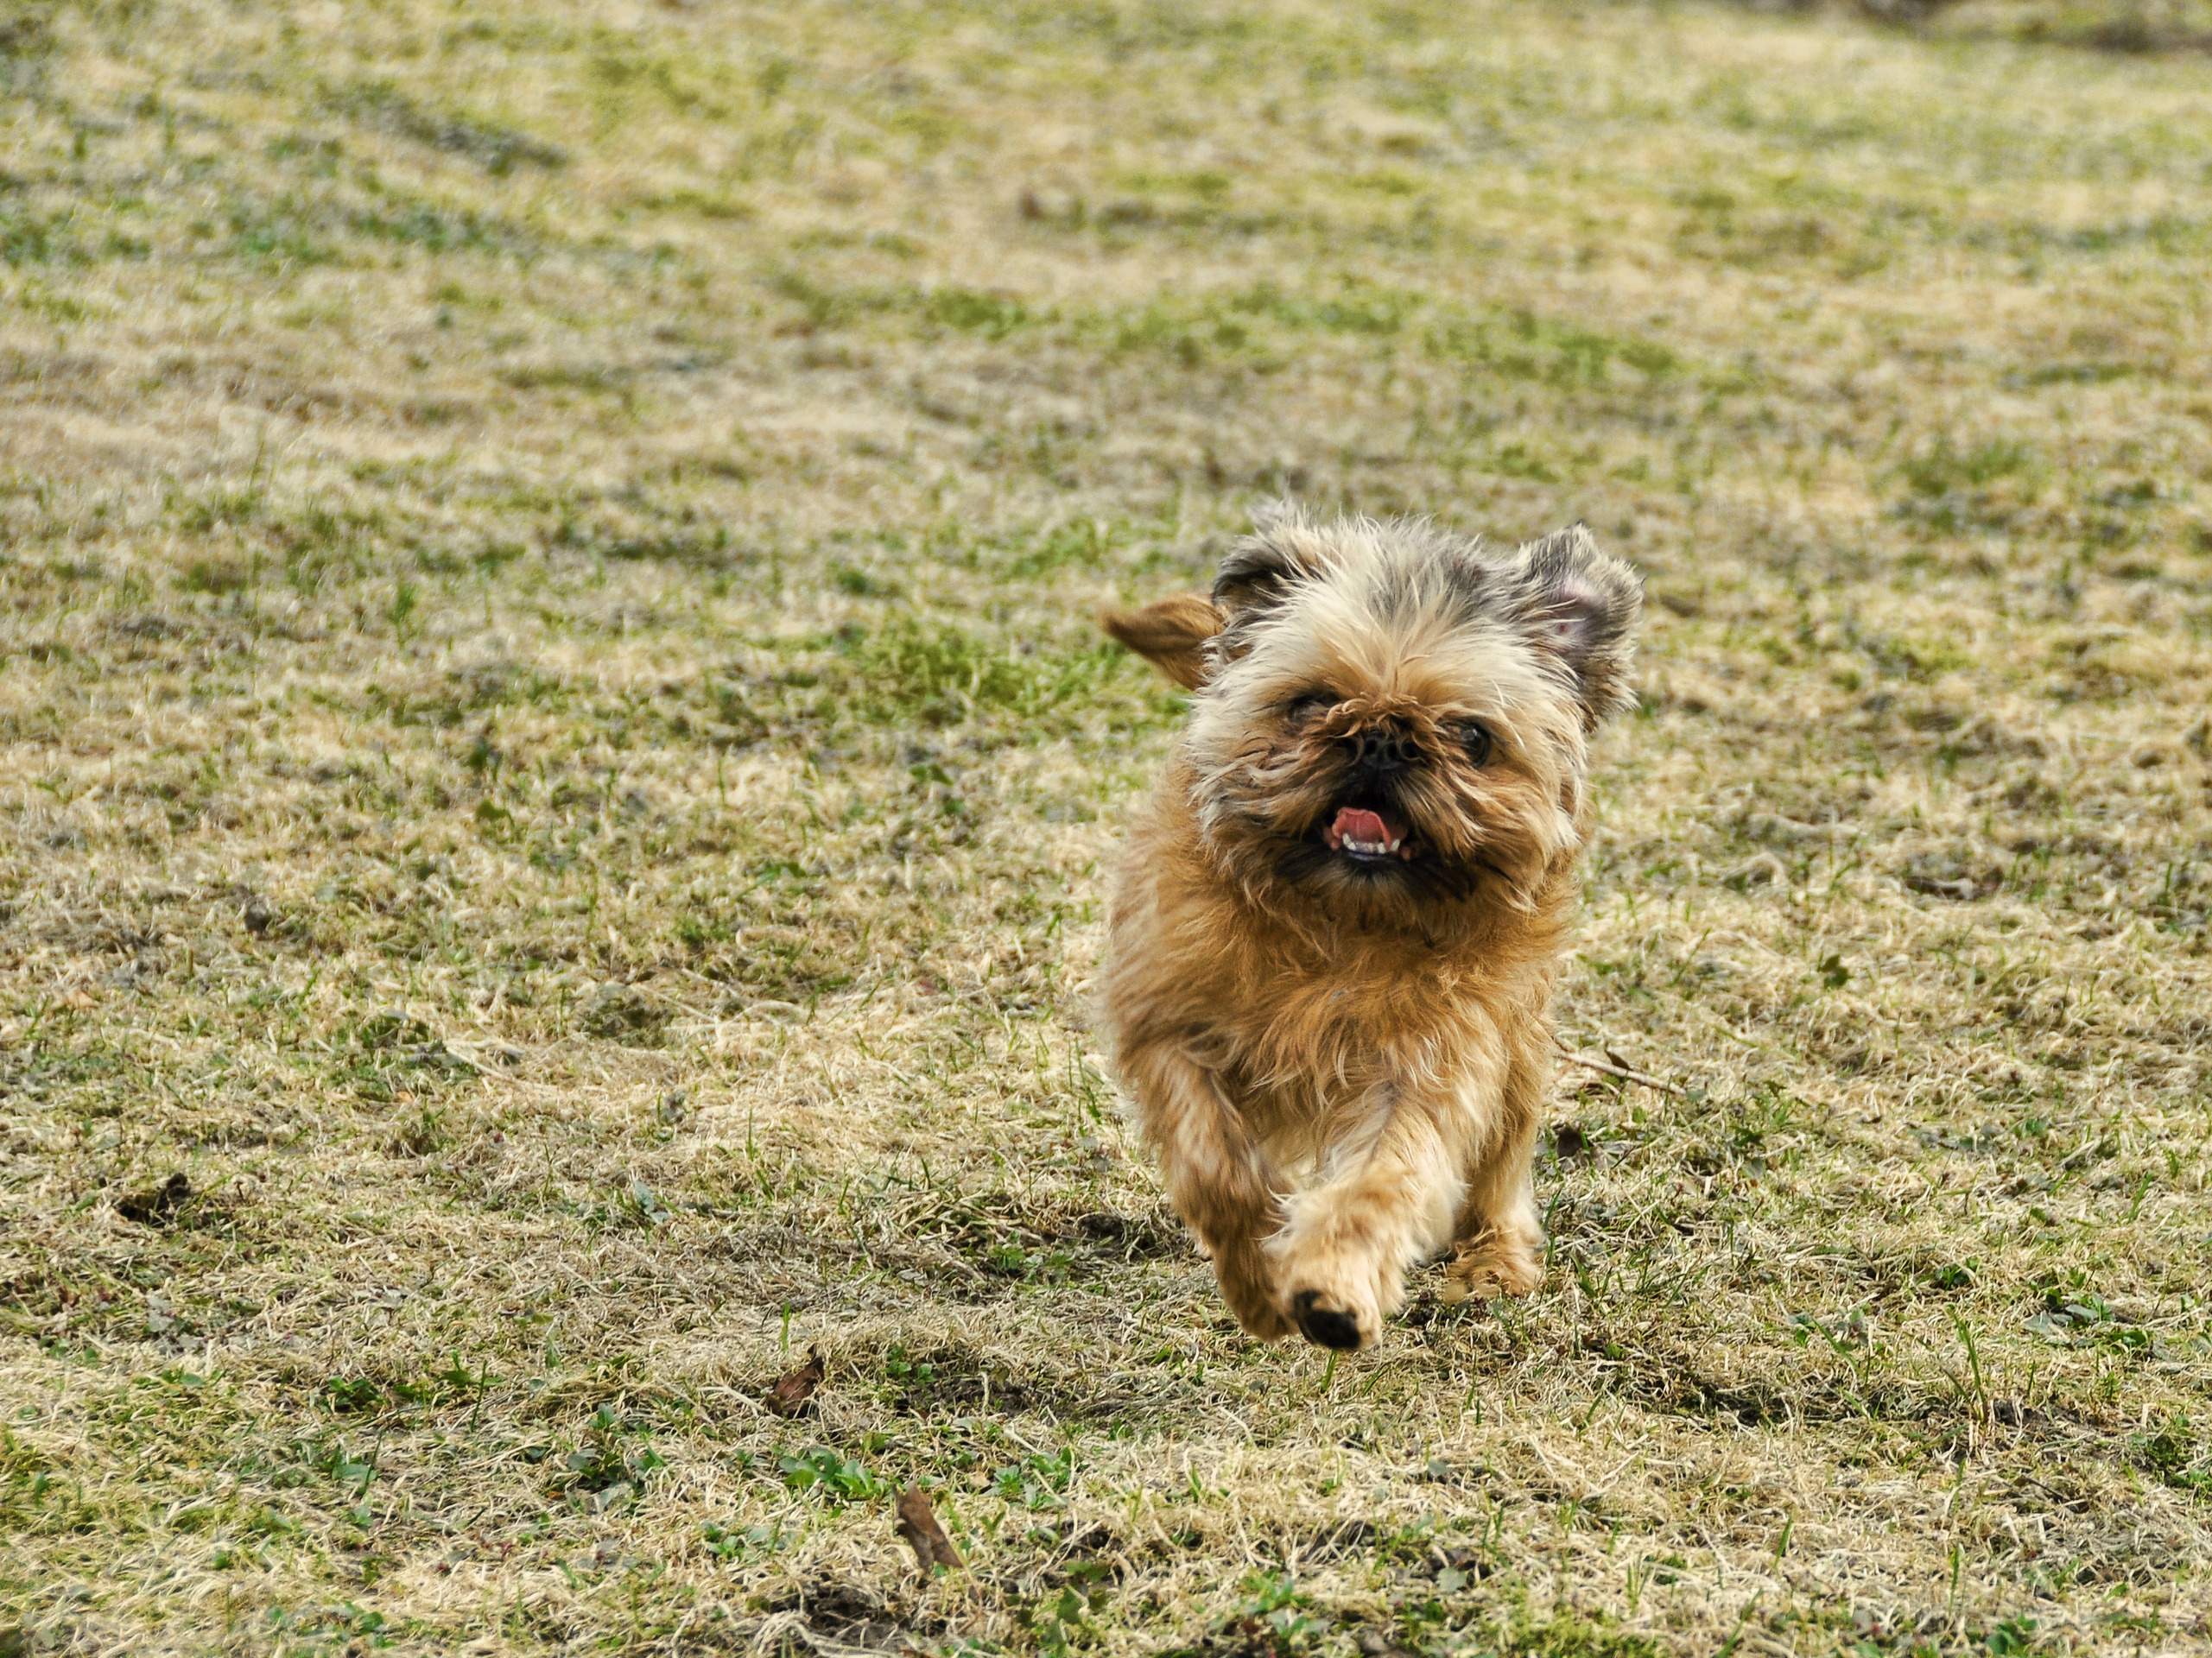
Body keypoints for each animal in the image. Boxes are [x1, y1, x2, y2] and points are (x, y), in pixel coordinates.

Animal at [1101, 506, 1645, 1352]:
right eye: (1309, 703)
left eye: (1472, 737)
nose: (1383, 736)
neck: (1341, 926)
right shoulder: (1166, 1031)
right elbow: (1216, 1168)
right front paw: (1257, 1284)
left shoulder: (1427, 1072)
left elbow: (1382, 1184)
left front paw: (1332, 1289)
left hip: (1517, 1049)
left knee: (1500, 1166)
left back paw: (1494, 1261)